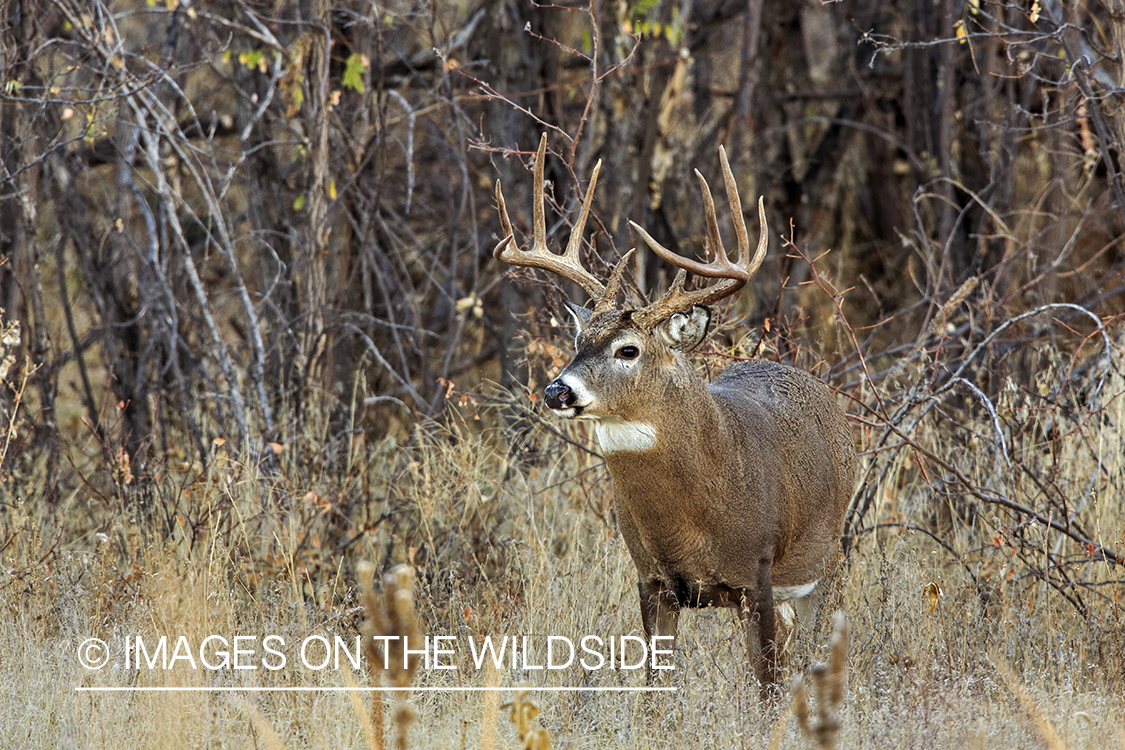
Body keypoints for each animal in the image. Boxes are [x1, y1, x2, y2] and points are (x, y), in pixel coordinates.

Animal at [492, 134, 850, 692]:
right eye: (577, 341)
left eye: (629, 350)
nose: (556, 391)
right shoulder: (652, 580)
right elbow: (655, 688)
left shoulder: (757, 575)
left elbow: (766, 688)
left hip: (826, 559)